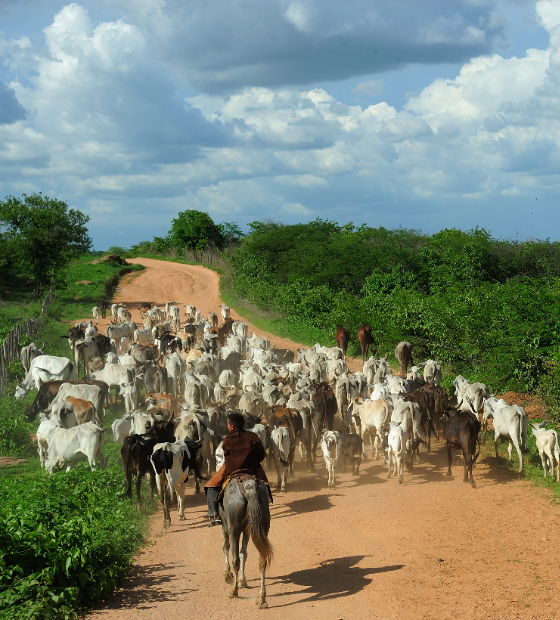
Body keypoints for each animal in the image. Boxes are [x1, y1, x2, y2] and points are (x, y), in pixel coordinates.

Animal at [219, 478, 274, 608]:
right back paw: (262, 599)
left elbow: (225, 546)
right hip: (263, 524)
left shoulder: (225, 526)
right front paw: (242, 581)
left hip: (233, 528)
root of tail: (249, 487)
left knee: (235, 560)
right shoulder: (247, 529)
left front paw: (228, 574)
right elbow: (243, 553)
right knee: (262, 559)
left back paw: (233, 592)